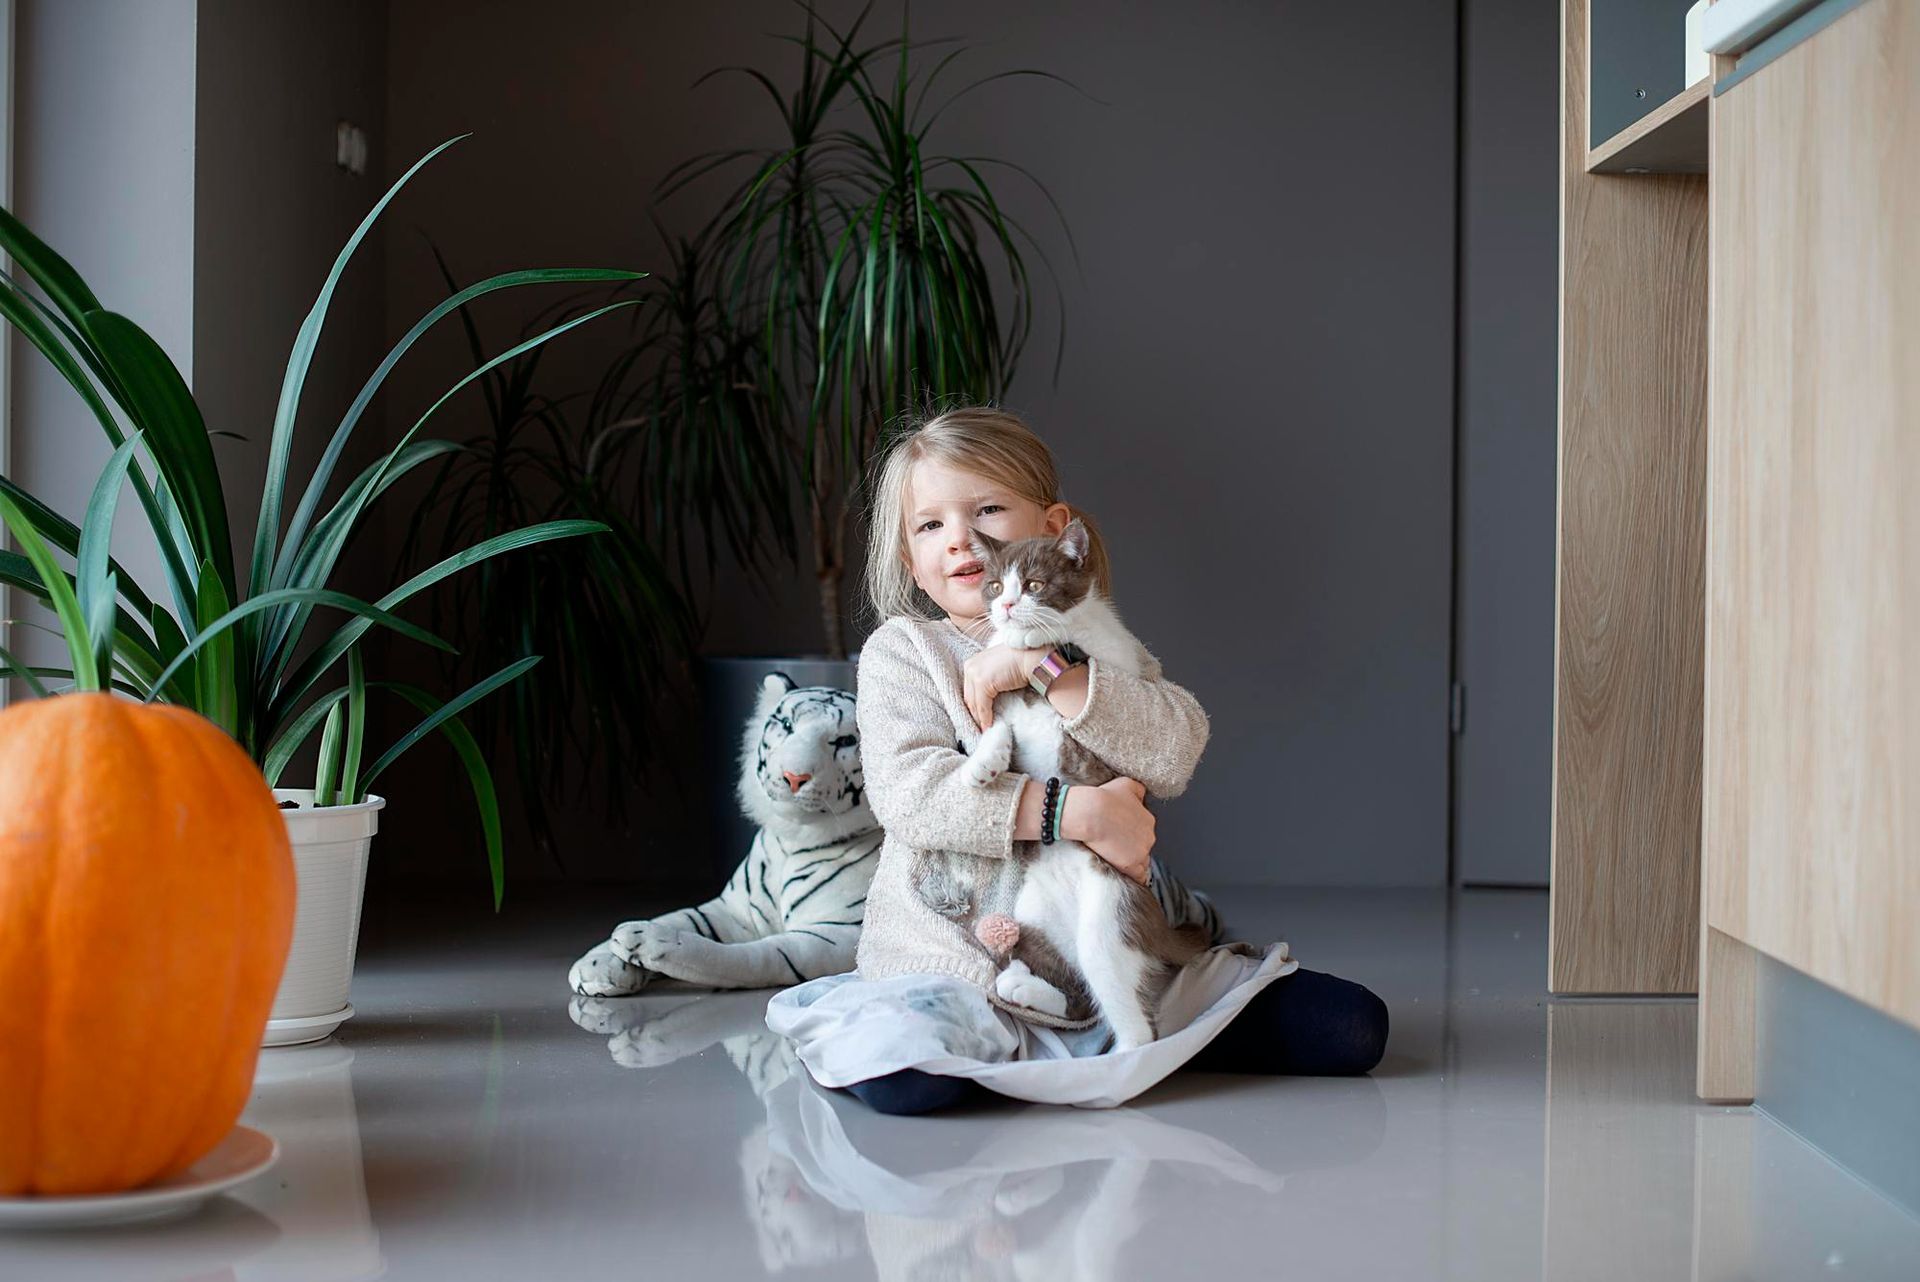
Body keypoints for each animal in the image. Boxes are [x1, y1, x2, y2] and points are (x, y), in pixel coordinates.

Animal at [906, 518, 1205, 1051]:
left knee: (1129, 1015)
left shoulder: (1113, 665)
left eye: (1033, 585)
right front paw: (985, 762)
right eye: (995, 585)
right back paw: (1020, 983)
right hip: (1034, 912)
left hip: (1111, 913)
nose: (1006, 606)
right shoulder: (999, 701)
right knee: (1074, 989)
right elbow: (997, 725)